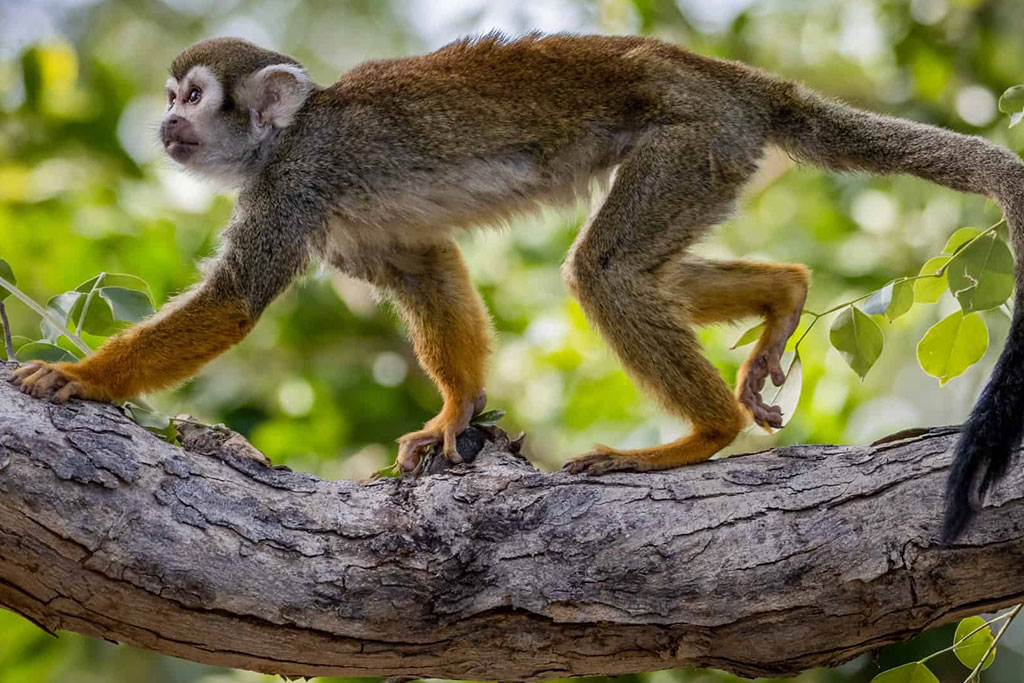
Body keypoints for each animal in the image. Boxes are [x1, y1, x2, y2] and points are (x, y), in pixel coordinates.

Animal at [8, 34, 1024, 540]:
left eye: (191, 99)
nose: (165, 126)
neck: (282, 138)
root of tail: (730, 78)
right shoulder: (336, 212)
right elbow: (425, 267)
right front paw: (458, 409)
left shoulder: (297, 180)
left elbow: (235, 300)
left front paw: (83, 379)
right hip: (716, 154)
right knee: (636, 268)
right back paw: (781, 293)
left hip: (694, 136)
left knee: (603, 271)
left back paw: (702, 436)